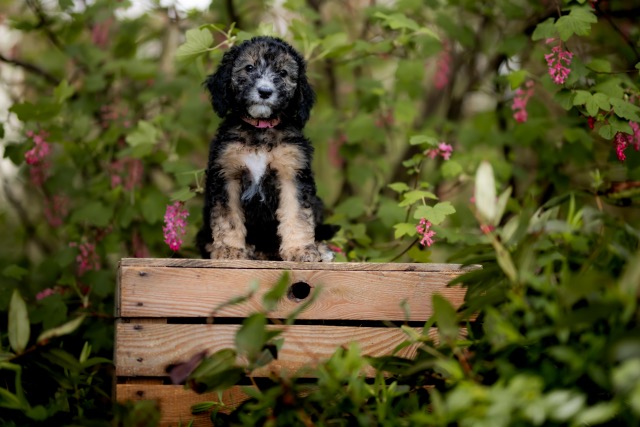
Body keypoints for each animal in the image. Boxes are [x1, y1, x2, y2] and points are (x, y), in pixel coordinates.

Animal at [195, 36, 336, 262]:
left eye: (283, 73)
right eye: (249, 68)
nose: (265, 91)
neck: (260, 130)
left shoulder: (292, 173)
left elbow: (297, 213)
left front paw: (300, 250)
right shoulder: (227, 174)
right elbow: (227, 216)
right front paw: (230, 250)